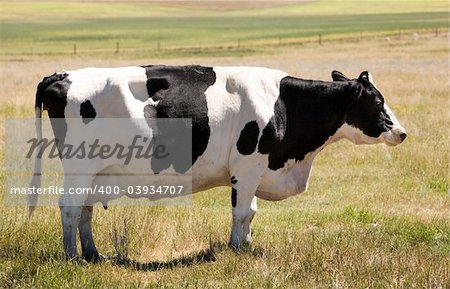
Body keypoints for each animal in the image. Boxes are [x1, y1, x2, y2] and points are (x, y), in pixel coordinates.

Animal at [29, 65, 406, 260]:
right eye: (377, 101)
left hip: (96, 173)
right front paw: (237, 248)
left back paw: (94, 255)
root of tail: (61, 75)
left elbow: (250, 212)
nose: (401, 132)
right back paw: (72, 257)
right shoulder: (249, 165)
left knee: (86, 208)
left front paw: (248, 244)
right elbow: (242, 211)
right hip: (80, 166)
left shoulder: (255, 169)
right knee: (70, 208)